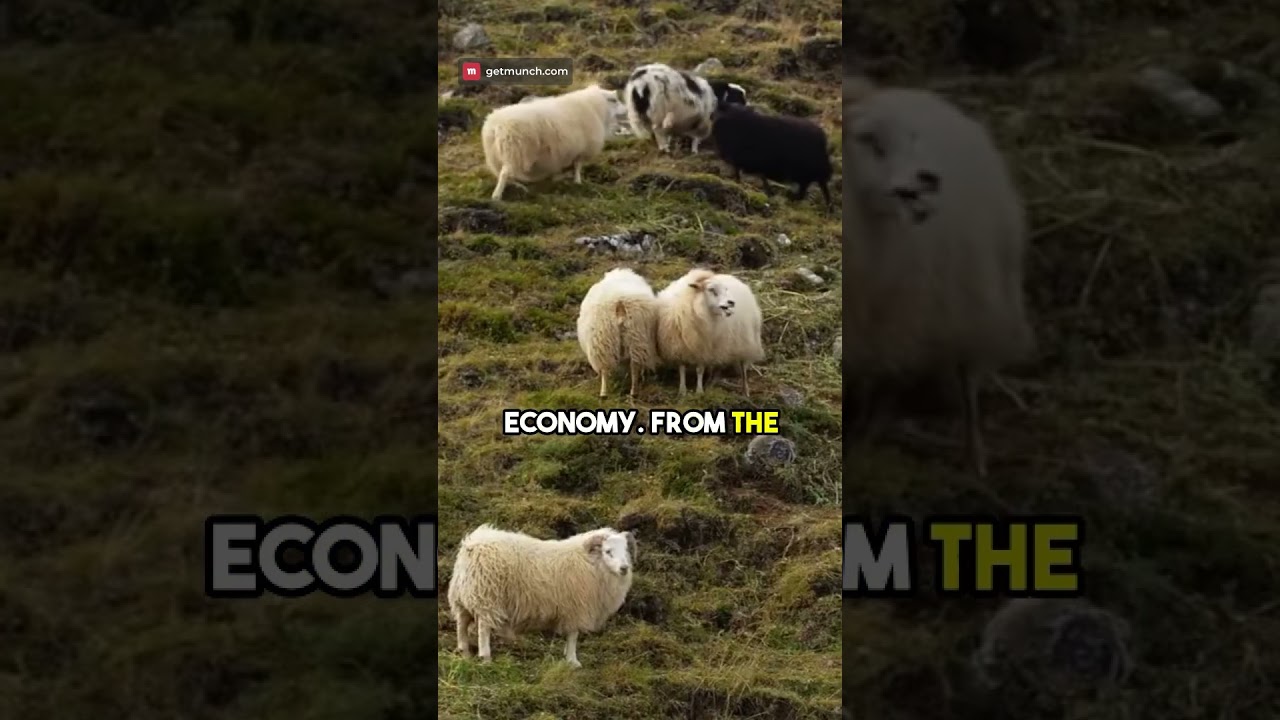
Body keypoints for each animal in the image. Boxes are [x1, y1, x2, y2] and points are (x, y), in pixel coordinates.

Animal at [448, 524, 636, 669]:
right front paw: (573, 661)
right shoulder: (575, 608)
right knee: (483, 629)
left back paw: (464, 652)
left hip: (463, 597)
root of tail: (472, 545)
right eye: (608, 551)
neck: (592, 564)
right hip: (487, 597)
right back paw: (485, 657)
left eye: (626, 550)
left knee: (462, 624)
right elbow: (573, 636)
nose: (624, 568)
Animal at [480, 83, 622, 200]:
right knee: (505, 173)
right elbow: (577, 166)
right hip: (515, 151)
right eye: (614, 100)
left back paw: (518, 186)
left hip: (497, 154)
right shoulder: (581, 149)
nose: (625, 110)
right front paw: (577, 181)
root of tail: (496, 125)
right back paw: (497, 196)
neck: (595, 106)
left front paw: (559, 178)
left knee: (503, 173)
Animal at [576, 267, 661, 398]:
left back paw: (604, 393)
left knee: (605, 369)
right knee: (635, 366)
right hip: (638, 339)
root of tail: (620, 303)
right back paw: (633, 392)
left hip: (603, 341)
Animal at [656, 268, 765, 396]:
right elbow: (682, 369)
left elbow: (700, 370)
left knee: (743, 367)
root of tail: (735, 279)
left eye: (726, 289)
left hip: (744, 341)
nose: (731, 302)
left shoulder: (704, 347)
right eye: (711, 289)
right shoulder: (679, 346)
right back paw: (711, 383)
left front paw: (699, 391)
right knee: (719, 366)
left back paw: (745, 390)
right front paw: (682, 390)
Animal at [842, 78, 1034, 478]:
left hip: (969, 304)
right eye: (868, 138)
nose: (929, 177)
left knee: (964, 377)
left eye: (915, 138)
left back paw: (973, 457)